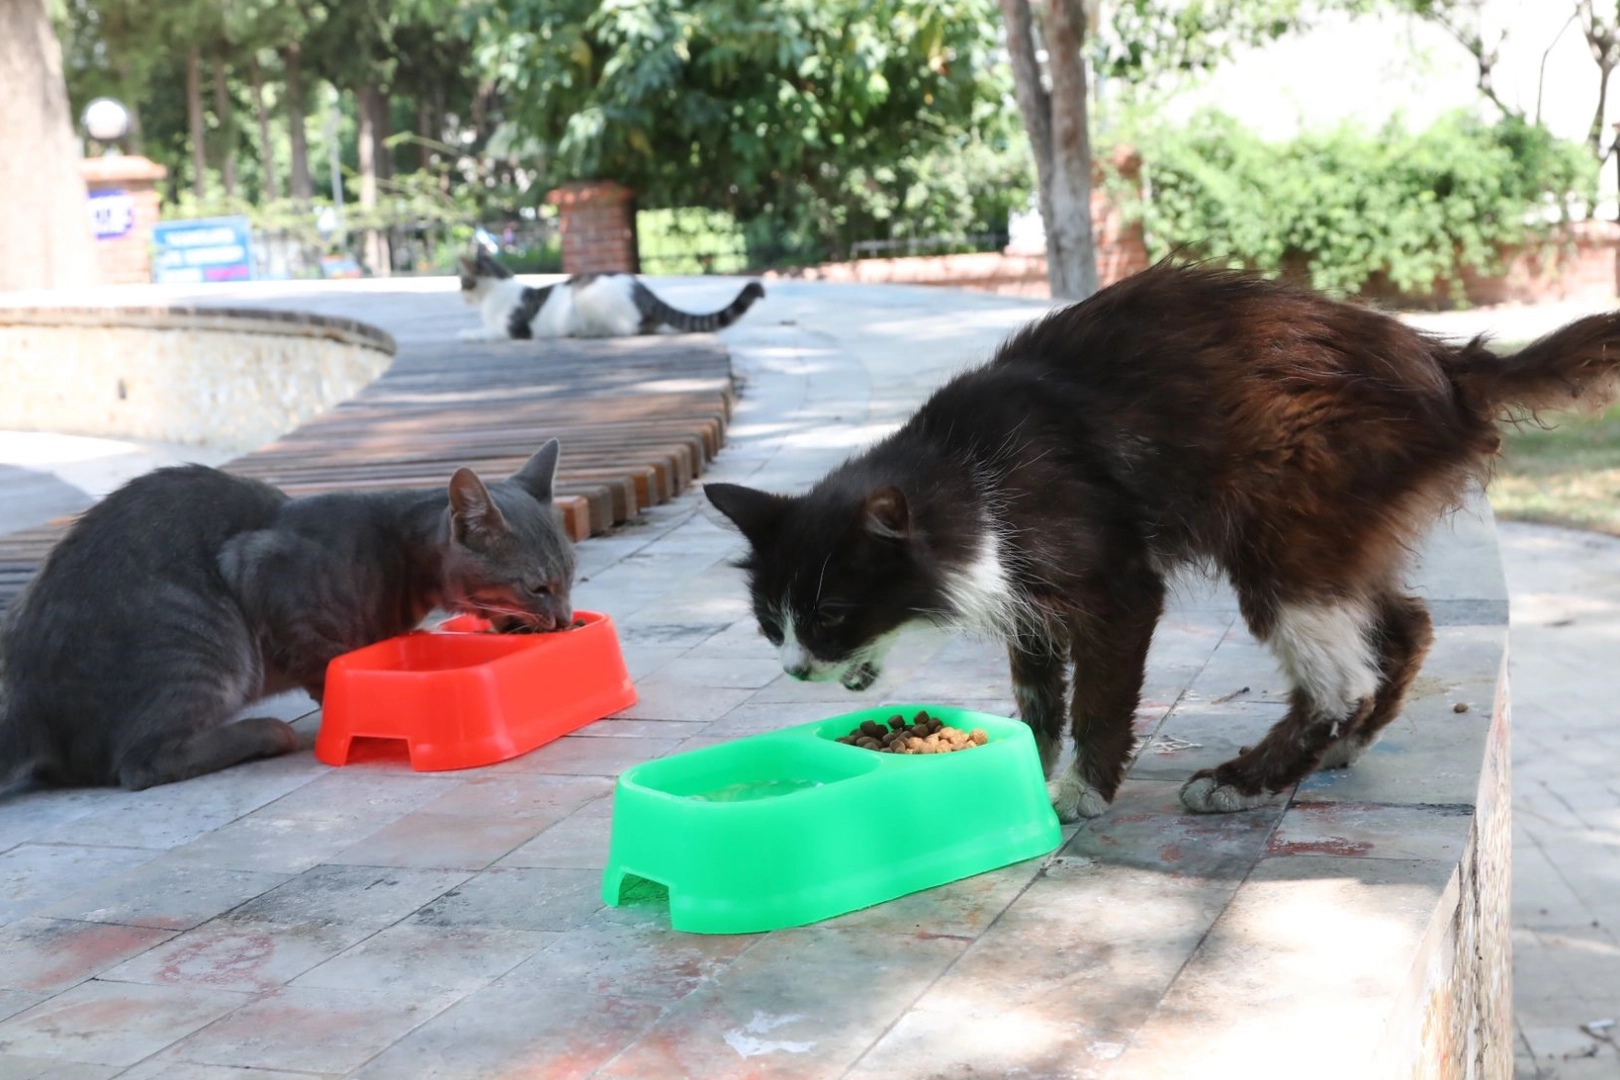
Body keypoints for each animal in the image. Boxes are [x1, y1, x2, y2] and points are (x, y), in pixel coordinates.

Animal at [0, 440, 579, 793]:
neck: (397, 554)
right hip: (204, 636)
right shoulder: (262, 573)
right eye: (538, 587)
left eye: (571, 576)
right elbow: (329, 669)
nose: (565, 619)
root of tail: (25, 698)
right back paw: (265, 733)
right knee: (140, 763)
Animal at [453, 249, 761, 341]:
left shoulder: (511, 329)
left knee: (635, 328)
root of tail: (641, 288)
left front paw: (467, 333)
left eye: (462, 282)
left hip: (586, 296)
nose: (460, 296)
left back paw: (588, 332)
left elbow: (486, 331)